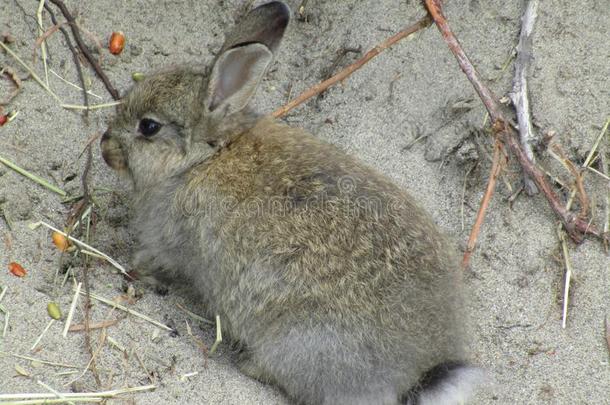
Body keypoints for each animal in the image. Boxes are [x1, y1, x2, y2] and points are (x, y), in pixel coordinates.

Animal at [98, 1, 480, 402]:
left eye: (148, 127)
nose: (105, 145)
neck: (204, 158)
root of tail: (418, 374)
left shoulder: (170, 239)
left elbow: (157, 257)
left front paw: (134, 266)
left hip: (297, 342)